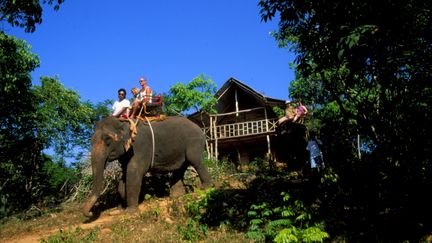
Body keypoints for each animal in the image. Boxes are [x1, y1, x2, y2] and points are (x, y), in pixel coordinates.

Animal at [82, 115, 213, 217]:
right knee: (180, 168)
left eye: (108, 141)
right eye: (91, 141)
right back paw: (176, 196)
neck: (123, 122)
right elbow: (124, 177)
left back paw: (205, 188)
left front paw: (130, 212)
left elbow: (134, 172)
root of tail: (199, 127)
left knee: (195, 160)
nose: (90, 213)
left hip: (194, 142)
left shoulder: (139, 146)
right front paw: (121, 207)